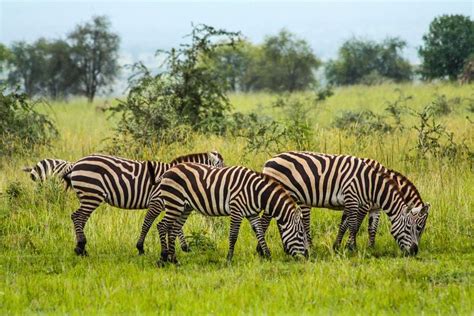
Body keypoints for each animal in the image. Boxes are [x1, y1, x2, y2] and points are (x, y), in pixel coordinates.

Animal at [63, 149, 224, 256]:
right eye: (220, 169)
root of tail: (76, 164)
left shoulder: (173, 203)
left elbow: (177, 227)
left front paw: (185, 247)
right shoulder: (157, 202)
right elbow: (147, 223)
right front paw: (140, 248)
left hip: (87, 197)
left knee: (78, 218)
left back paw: (81, 247)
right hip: (92, 195)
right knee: (77, 217)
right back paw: (81, 248)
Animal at [148, 163, 310, 264]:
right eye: (300, 233)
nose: (306, 257)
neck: (256, 192)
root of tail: (167, 171)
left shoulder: (252, 214)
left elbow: (260, 233)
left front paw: (268, 256)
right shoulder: (236, 209)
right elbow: (233, 235)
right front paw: (229, 259)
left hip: (184, 207)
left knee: (173, 229)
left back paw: (174, 260)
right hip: (174, 203)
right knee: (162, 226)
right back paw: (163, 258)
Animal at [262, 152, 432, 256]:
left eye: (419, 228)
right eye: (415, 228)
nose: (415, 251)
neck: (373, 184)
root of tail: (270, 160)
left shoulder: (373, 207)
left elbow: (367, 227)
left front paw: (368, 247)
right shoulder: (356, 200)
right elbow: (354, 225)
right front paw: (351, 247)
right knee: (268, 220)